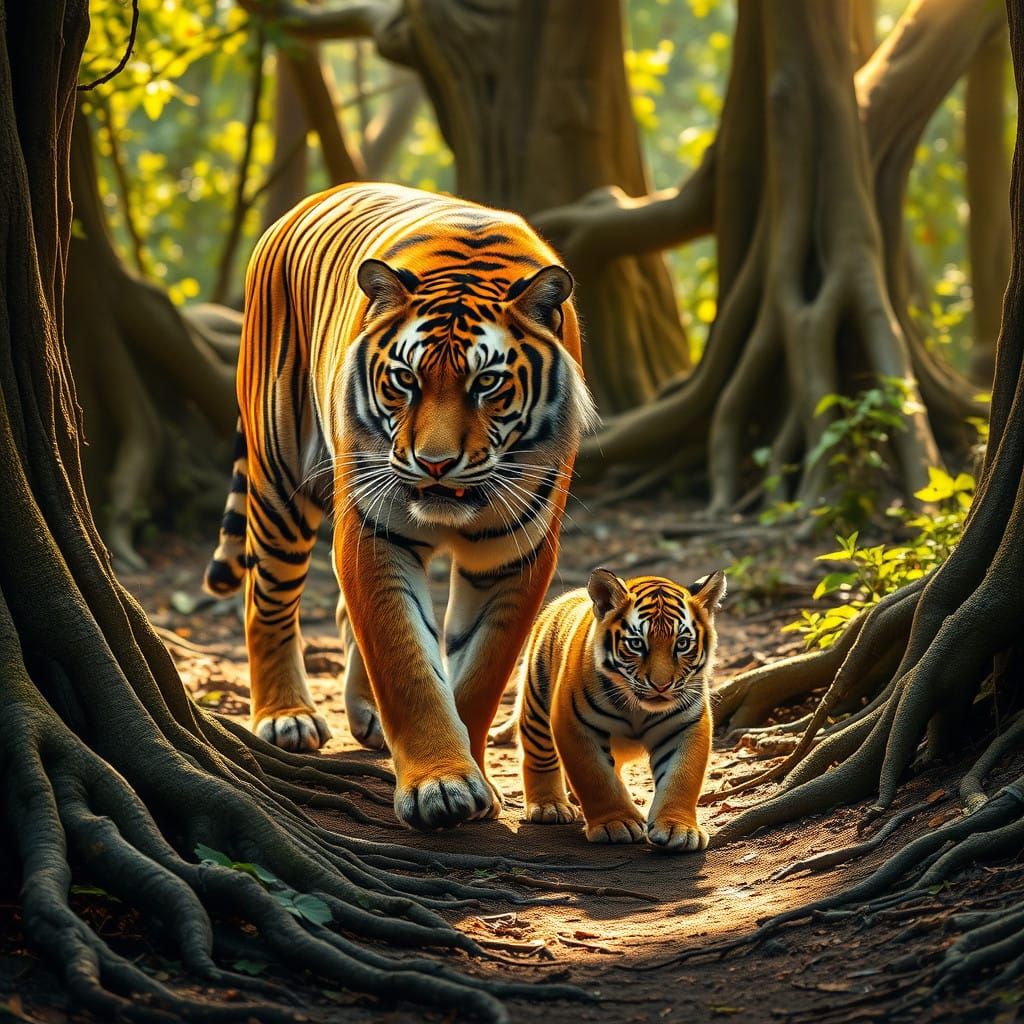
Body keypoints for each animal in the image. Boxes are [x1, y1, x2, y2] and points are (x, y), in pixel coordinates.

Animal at [203, 182, 597, 832]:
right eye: (405, 380)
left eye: (487, 384)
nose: (434, 463)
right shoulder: (372, 532)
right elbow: (405, 658)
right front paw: (442, 783)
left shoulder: (515, 551)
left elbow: (480, 673)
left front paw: (474, 775)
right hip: (282, 478)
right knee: (268, 599)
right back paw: (286, 716)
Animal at [507, 567, 725, 851]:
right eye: (637, 644)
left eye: (682, 644)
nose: (661, 685)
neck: (638, 708)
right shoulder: (575, 724)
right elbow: (597, 777)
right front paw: (617, 824)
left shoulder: (685, 725)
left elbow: (682, 778)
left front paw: (678, 829)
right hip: (536, 705)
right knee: (538, 756)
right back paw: (549, 806)